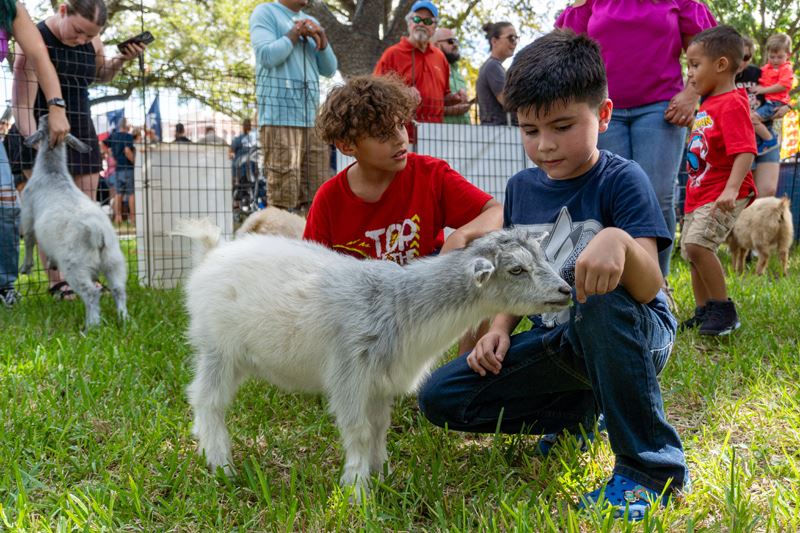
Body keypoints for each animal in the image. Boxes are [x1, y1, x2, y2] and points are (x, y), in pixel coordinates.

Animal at [20, 115, 128, 328]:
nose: (44, 116)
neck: (52, 172)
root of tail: (98, 233)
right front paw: (50, 262)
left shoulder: (27, 214)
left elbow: (28, 240)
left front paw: (26, 267)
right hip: (114, 261)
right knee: (119, 290)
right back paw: (125, 319)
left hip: (75, 266)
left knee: (92, 293)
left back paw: (91, 327)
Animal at [173, 219, 572, 498]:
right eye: (517, 269)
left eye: (545, 258)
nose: (566, 290)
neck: (398, 305)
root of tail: (212, 253)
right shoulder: (350, 371)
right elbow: (359, 430)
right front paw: (357, 489)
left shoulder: (381, 382)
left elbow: (379, 427)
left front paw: (384, 475)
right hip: (217, 348)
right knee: (208, 401)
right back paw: (220, 463)